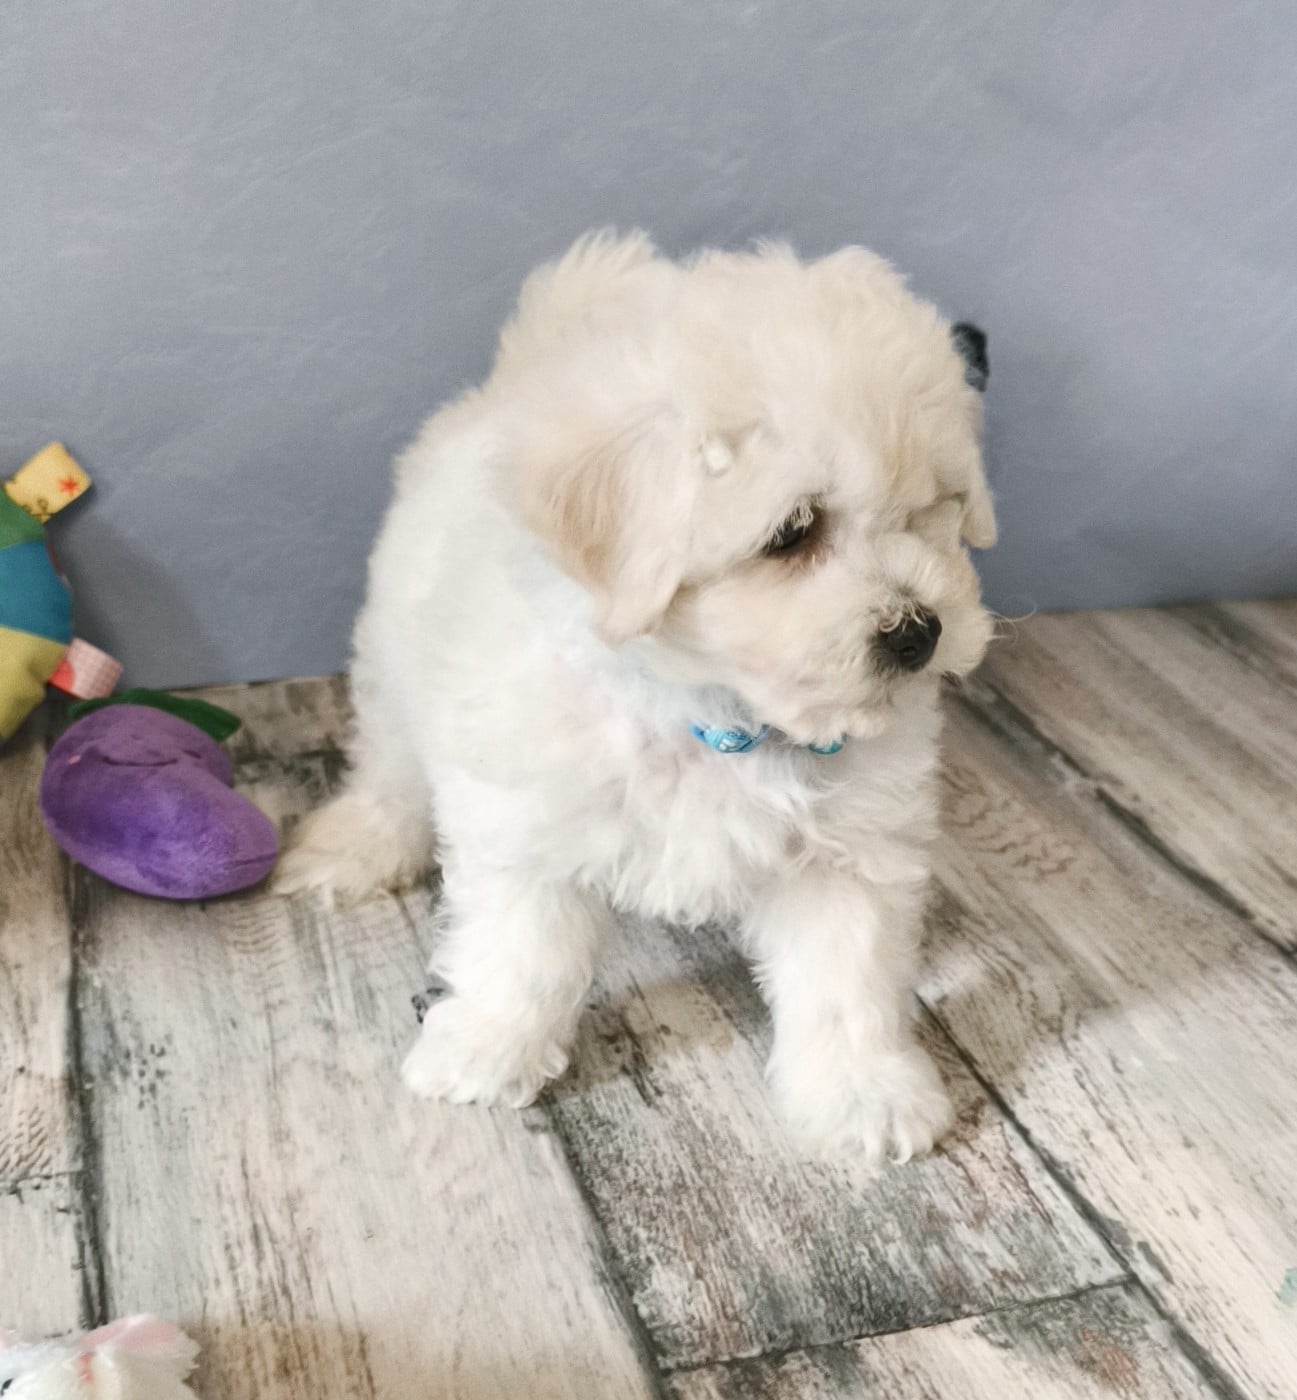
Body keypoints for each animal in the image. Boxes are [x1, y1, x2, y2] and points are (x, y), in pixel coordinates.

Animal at [274, 232, 996, 1166]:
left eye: (932, 511)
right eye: (792, 532)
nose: (917, 632)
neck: (713, 713)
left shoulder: (848, 850)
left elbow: (846, 977)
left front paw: (863, 1094)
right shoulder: (528, 811)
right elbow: (519, 946)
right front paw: (486, 1046)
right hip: (395, 659)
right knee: (390, 768)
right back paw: (357, 844)